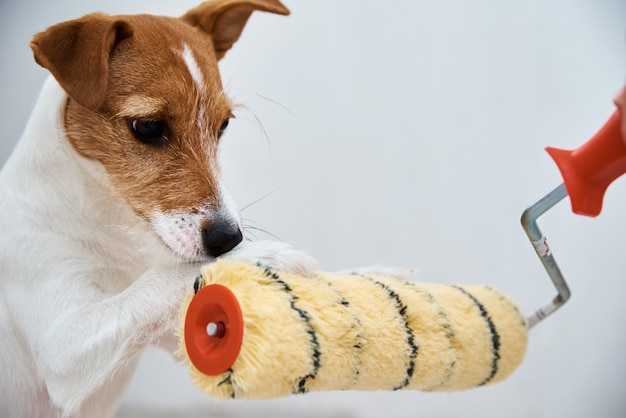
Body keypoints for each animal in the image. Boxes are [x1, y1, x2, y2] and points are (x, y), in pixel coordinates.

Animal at [0, 1, 314, 416]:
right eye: (148, 127)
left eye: (223, 125)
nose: (229, 238)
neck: (109, 225)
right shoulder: (62, 346)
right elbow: (160, 283)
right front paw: (261, 256)